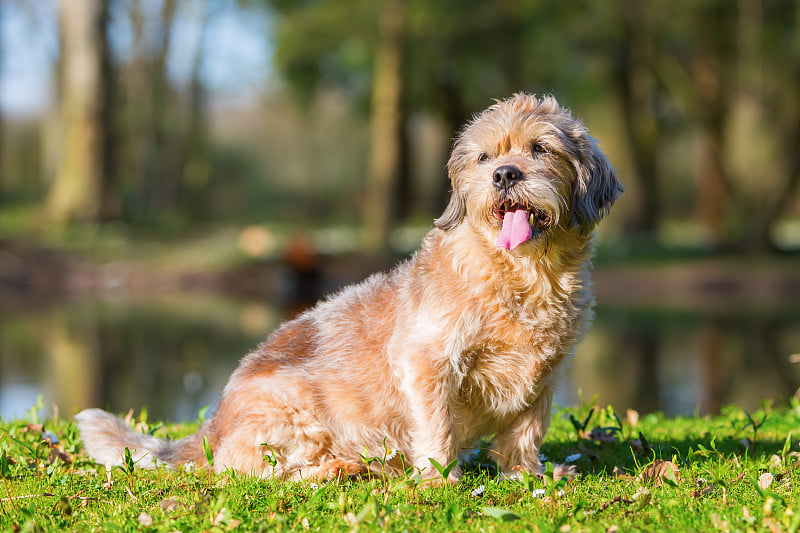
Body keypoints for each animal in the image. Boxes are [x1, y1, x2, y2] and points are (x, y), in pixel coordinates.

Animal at [76, 94, 624, 482]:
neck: (524, 273)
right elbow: (438, 428)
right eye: (485, 156)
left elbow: (524, 434)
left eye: (541, 148)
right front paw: (440, 480)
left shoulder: (544, 378)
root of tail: (213, 424)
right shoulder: (428, 363)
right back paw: (341, 468)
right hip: (296, 413)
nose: (504, 174)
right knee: (261, 472)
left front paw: (528, 475)